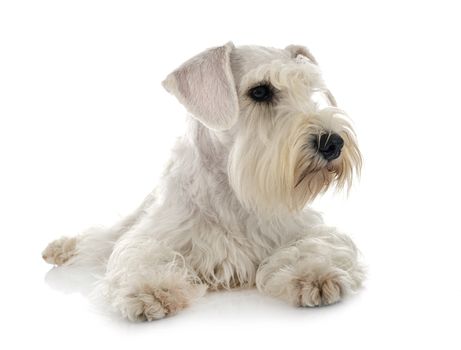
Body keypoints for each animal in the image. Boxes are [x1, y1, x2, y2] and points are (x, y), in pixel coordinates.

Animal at [42, 42, 362, 322]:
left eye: (309, 89)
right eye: (260, 91)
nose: (333, 143)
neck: (232, 192)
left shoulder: (300, 226)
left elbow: (313, 245)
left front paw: (316, 274)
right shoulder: (153, 235)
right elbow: (145, 255)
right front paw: (149, 290)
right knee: (102, 236)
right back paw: (62, 247)